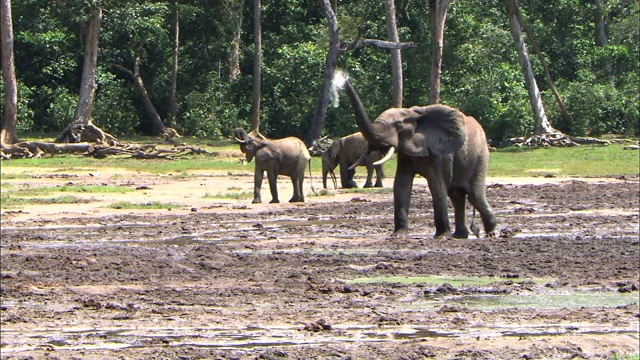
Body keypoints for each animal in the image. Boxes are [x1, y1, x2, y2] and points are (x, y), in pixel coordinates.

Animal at [332, 72, 498, 239]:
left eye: (398, 126)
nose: (343, 78)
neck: (413, 112)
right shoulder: (405, 152)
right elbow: (401, 184)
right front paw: (398, 235)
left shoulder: (441, 152)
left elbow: (437, 185)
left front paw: (441, 236)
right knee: (456, 194)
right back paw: (460, 235)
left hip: (481, 155)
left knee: (474, 194)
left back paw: (491, 232)